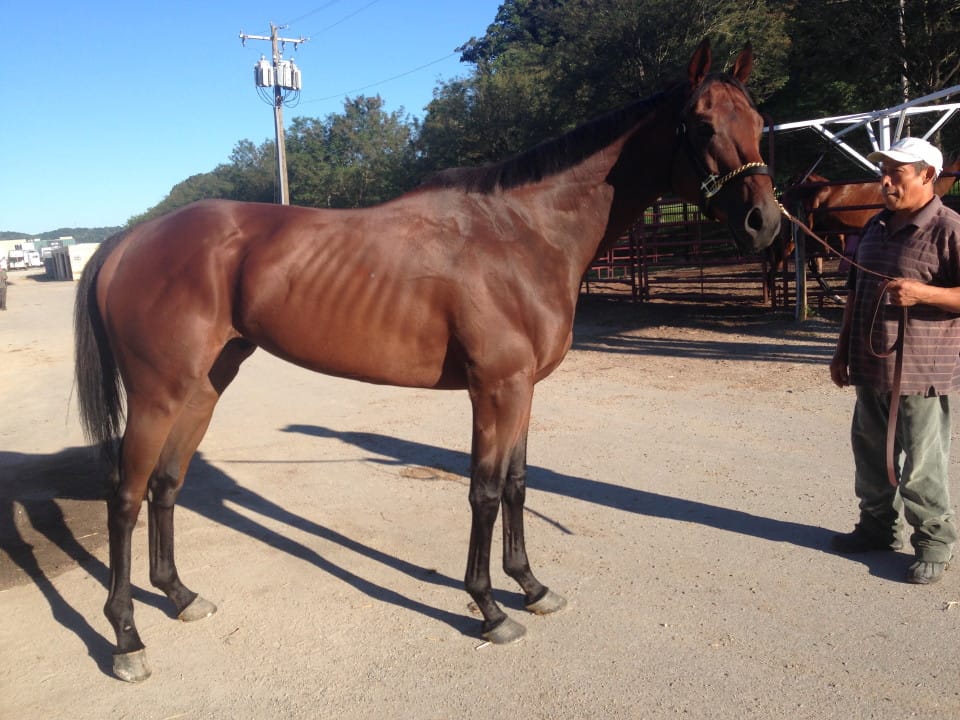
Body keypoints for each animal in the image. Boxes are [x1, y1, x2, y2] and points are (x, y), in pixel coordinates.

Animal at [74, 39, 780, 683]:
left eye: (760, 122)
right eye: (703, 125)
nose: (763, 223)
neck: (522, 234)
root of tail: (130, 238)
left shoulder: (524, 390)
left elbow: (519, 484)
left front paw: (532, 586)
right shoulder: (495, 389)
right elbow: (485, 493)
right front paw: (490, 609)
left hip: (205, 386)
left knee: (166, 484)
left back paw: (181, 597)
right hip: (158, 394)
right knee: (126, 497)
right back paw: (127, 639)